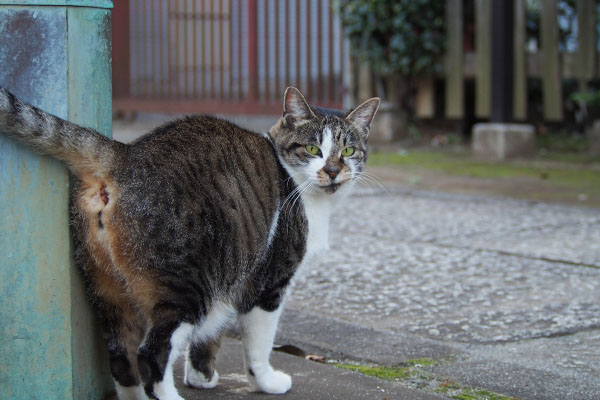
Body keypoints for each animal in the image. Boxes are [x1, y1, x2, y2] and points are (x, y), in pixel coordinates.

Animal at [0, 86, 380, 398]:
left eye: (349, 150)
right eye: (313, 148)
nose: (333, 171)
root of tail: (127, 155)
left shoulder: (233, 276)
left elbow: (211, 333)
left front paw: (201, 375)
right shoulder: (267, 283)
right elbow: (258, 346)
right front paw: (266, 382)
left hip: (110, 290)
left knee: (123, 360)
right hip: (187, 284)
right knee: (150, 355)